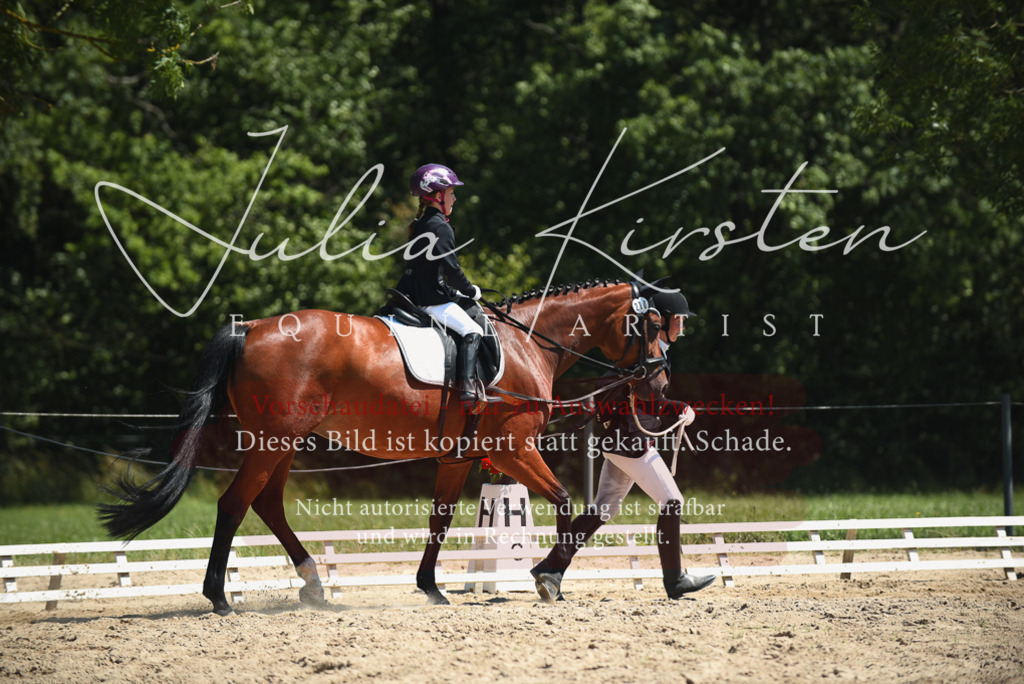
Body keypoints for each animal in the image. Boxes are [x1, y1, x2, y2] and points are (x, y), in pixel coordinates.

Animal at [98, 279, 671, 613]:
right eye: (651, 324)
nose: (660, 381)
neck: (527, 344)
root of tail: (252, 326)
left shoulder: (457, 458)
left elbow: (440, 519)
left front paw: (431, 586)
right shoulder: (513, 449)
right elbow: (565, 501)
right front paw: (549, 576)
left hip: (282, 443)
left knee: (267, 504)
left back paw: (311, 584)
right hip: (271, 441)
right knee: (234, 504)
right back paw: (219, 597)